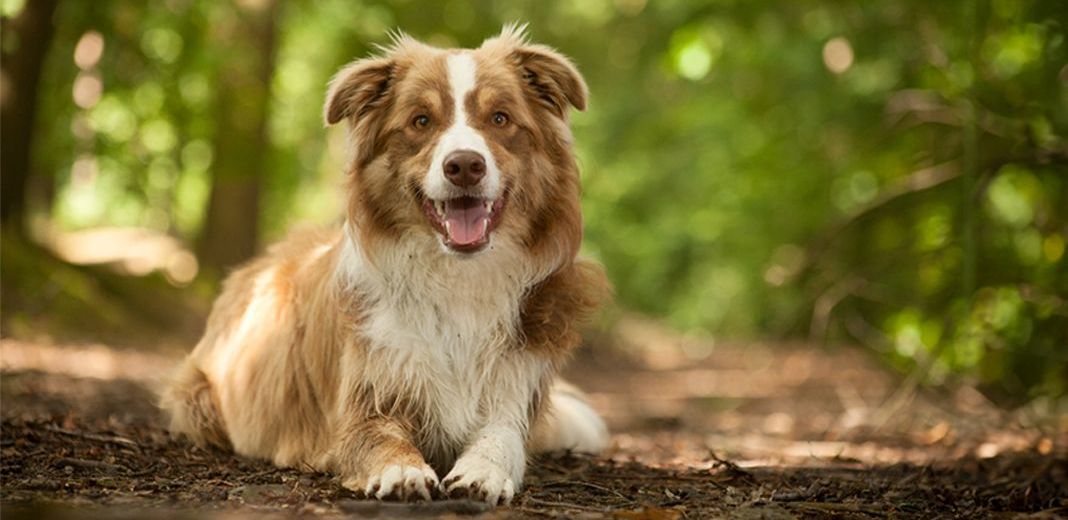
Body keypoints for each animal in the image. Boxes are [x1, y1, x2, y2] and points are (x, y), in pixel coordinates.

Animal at [159, 26, 610, 506]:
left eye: (501, 119)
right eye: (421, 121)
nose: (464, 165)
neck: (456, 279)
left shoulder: (514, 392)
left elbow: (501, 439)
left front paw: (481, 471)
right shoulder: (363, 404)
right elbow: (382, 439)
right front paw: (402, 470)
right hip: (198, 398)